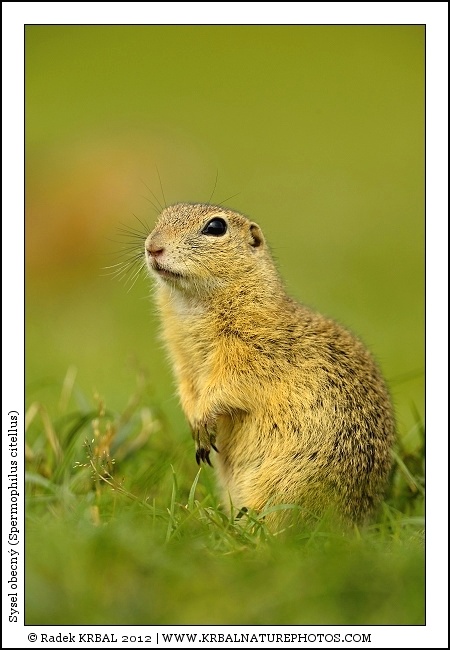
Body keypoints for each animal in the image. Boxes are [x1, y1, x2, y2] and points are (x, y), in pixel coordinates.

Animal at [145, 202, 395, 526]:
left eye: (215, 227)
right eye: (161, 217)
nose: (153, 247)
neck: (192, 305)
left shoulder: (253, 352)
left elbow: (229, 385)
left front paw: (203, 419)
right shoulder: (183, 362)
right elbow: (188, 389)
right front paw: (195, 421)